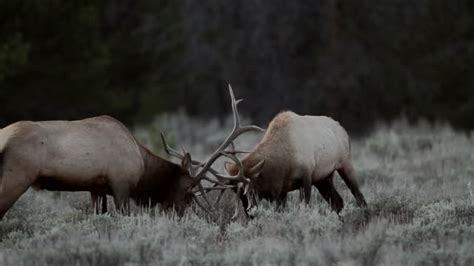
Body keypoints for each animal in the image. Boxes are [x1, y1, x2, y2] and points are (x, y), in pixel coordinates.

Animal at [0, 85, 260, 220]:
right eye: (188, 188)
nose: (181, 214)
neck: (143, 168)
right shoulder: (121, 184)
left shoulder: (97, 188)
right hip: (16, 176)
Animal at [224, 111, 368, 215]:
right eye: (234, 191)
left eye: (250, 189)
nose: (249, 213)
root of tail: (343, 130)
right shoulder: (282, 189)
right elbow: (279, 211)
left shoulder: (306, 177)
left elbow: (305, 206)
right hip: (323, 179)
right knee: (338, 202)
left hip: (345, 163)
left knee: (359, 197)